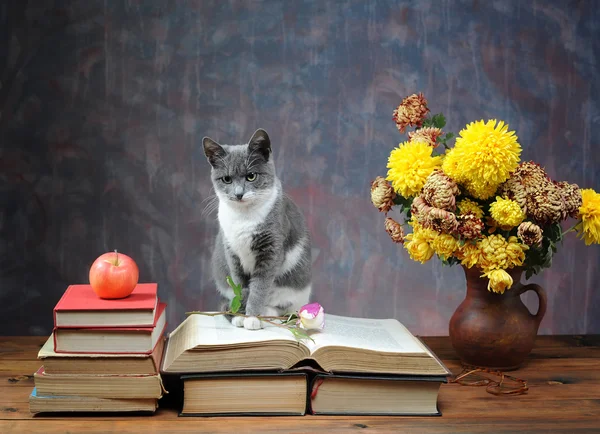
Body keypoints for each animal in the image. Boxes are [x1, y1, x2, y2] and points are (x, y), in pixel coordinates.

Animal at [203, 129, 312, 328]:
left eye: (251, 176)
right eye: (227, 179)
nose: (238, 194)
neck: (244, 217)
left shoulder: (271, 252)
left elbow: (259, 288)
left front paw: (252, 317)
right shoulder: (232, 254)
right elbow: (240, 288)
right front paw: (239, 314)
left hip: (294, 293)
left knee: (283, 309)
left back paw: (267, 313)